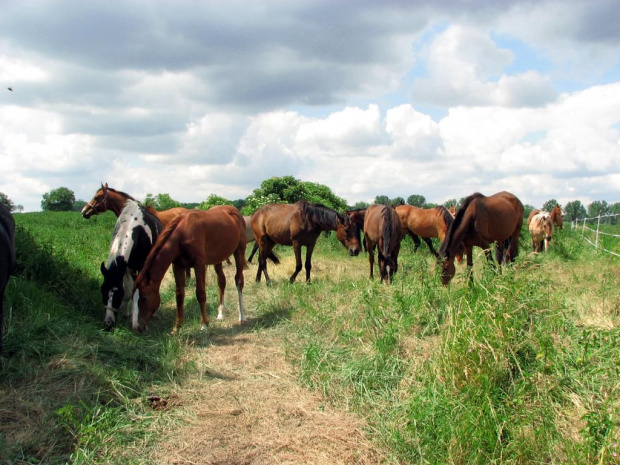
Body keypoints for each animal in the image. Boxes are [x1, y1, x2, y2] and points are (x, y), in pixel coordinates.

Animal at [100, 198, 162, 326]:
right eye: (102, 290)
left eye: (118, 293)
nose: (109, 322)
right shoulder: (127, 267)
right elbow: (129, 291)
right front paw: (126, 313)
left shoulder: (141, 266)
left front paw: (136, 316)